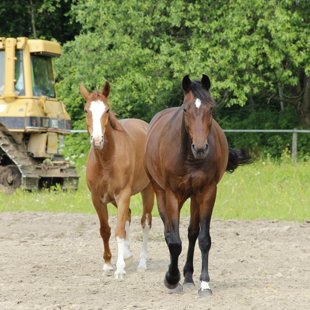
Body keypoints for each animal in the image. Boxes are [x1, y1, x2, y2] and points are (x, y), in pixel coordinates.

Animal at [79, 81, 153, 280]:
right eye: (86, 110)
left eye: (107, 110)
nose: (97, 140)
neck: (107, 160)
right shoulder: (97, 198)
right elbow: (105, 230)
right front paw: (107, 264)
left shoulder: (123, 194)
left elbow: (119, 231)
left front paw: (119, 269)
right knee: (128, 214)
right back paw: (127, 254)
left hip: (148, 191)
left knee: (145, 222)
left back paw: (142, 263)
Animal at [144, 74, 251, 296]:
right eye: (186, 110)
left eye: (210, 109)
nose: (200, 148)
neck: (189, 158)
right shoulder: (172, 194)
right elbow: (174, 241)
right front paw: (171, 279)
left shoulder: (208, 192)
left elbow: (203, 239)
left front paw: (204, 283)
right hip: (161, 193)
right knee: (169, 232)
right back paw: (175, 277)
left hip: (194, 197)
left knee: (192, 233)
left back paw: (187, 277)